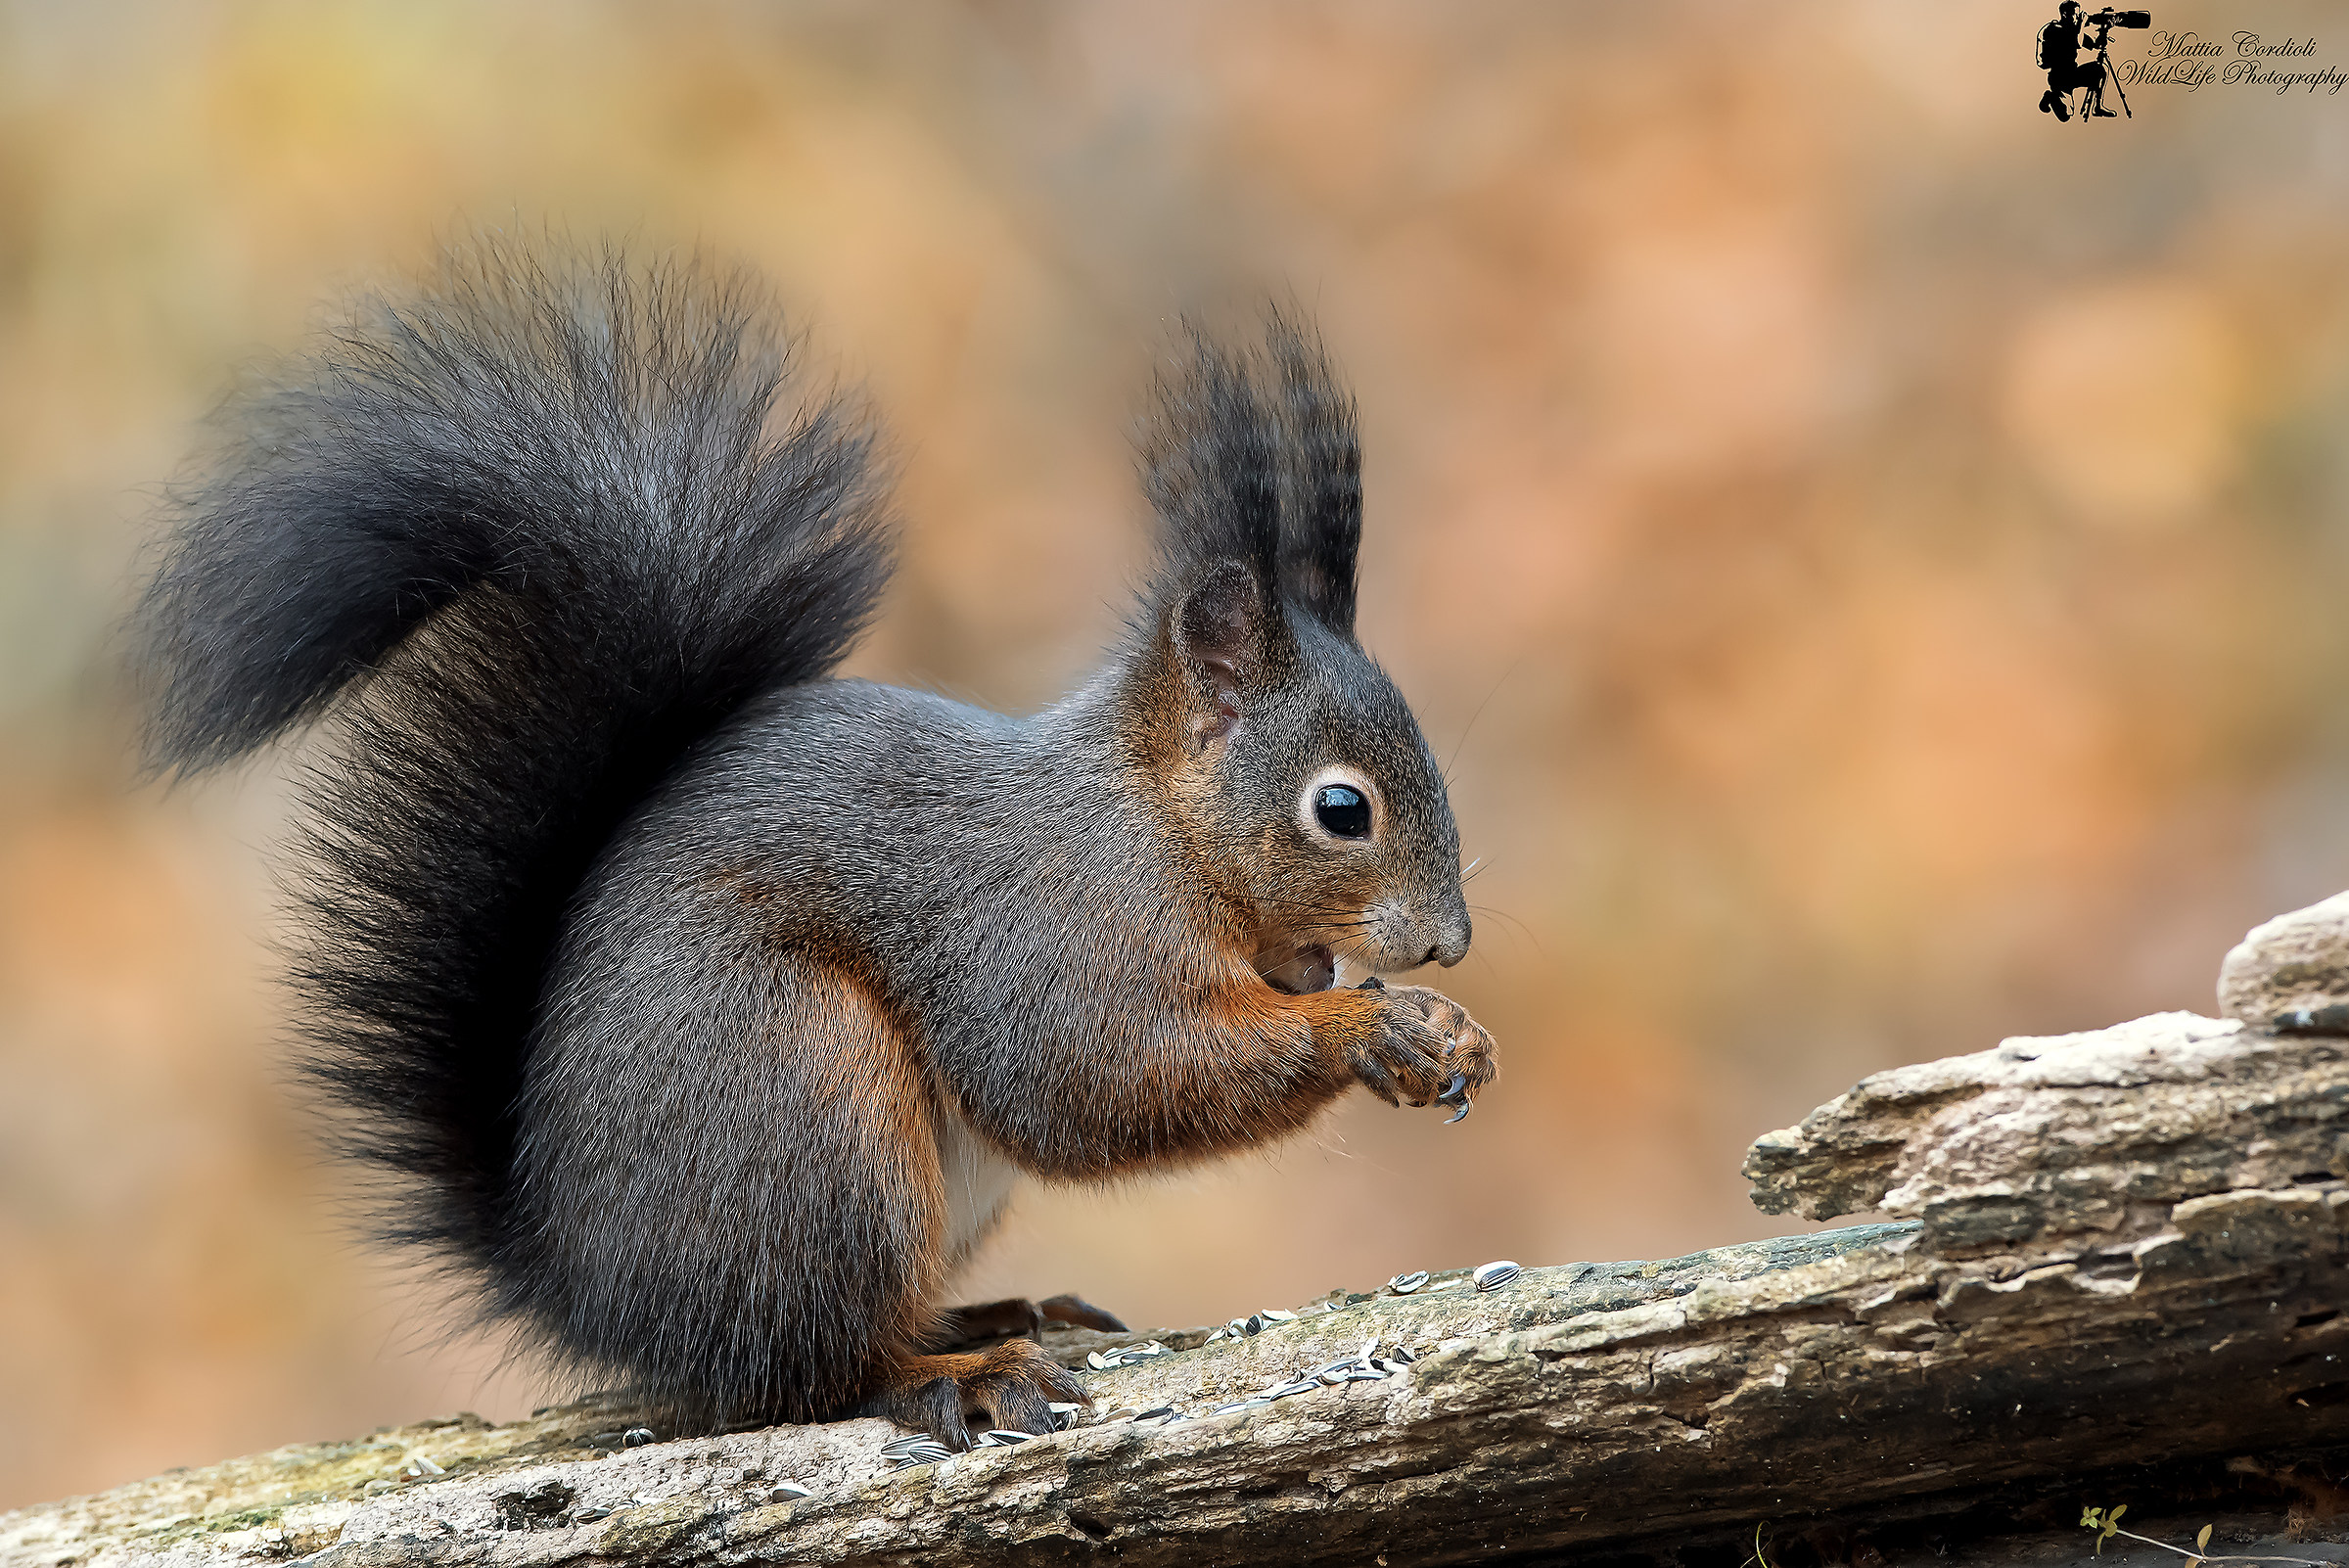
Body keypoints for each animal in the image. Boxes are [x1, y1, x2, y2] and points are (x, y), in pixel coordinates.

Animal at [133, 241, 1498, 1449]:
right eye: (1341, 810)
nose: (1450, 942)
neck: (1155, 823)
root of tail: (587, 1286)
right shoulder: (1048, 921)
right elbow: (1095, 1078)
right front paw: (1369, 1027)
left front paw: (1439, 1028)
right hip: (806, 1102)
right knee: (814, 1364)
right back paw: (961, 1374)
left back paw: (987, 1316)